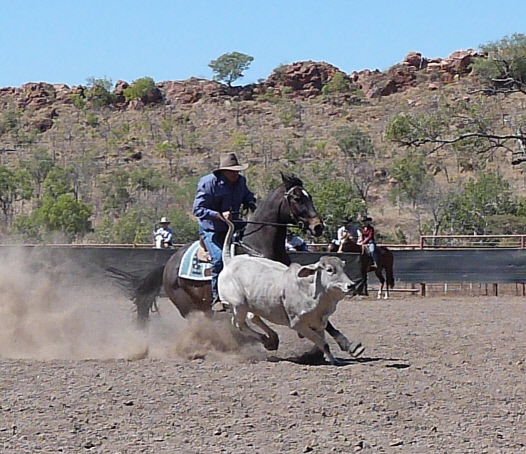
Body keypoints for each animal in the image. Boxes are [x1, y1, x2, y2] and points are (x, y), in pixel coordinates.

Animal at [120, 174, 366, 358]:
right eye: (296, 198)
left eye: (309, 196)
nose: (317, 227)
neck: (258, 245)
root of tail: (168, 264)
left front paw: (349, 345)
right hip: (187, 306)